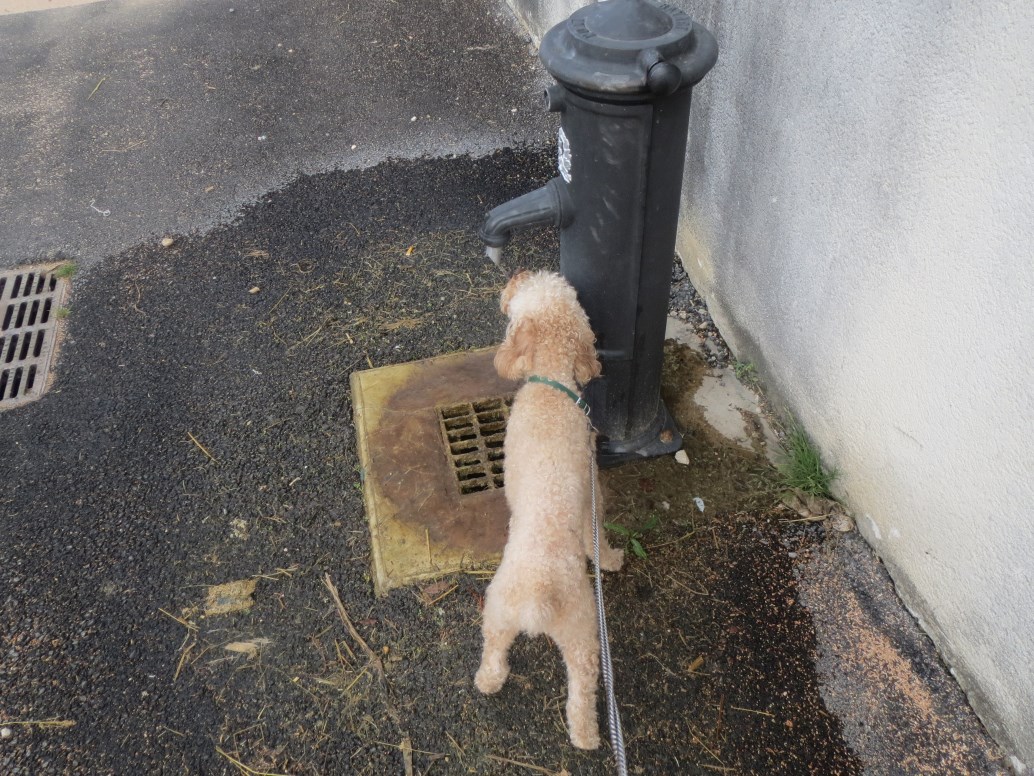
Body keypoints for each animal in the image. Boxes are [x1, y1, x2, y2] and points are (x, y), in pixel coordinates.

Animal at [475, 270, 624, 750]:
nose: (516, 277)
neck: (549, 385)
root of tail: (538, 596)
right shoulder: (592, 494)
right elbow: (599, 539)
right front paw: (612, 560)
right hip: (583, 634)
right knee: (581, 691)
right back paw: (588, 736)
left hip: (498, 611)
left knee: (493, 654)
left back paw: (488, 682)